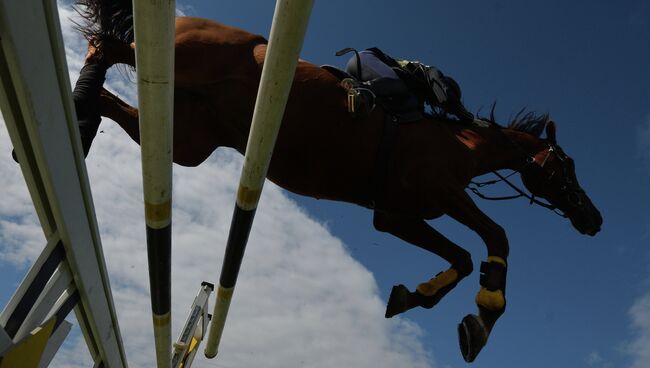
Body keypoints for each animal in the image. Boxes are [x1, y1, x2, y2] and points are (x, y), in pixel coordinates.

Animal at [64, 0, 596, 362]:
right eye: (568, 166)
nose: (594, 219)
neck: (461, 144)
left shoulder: (396, 215)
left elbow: (463, 258)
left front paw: (416, 296)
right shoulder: (443, 193)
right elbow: (496, 237)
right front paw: (484, 316)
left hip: (189, 141)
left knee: (118, 100)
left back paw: (85, 115)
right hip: (173, 61)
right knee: (105, 46)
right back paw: (79, 109)